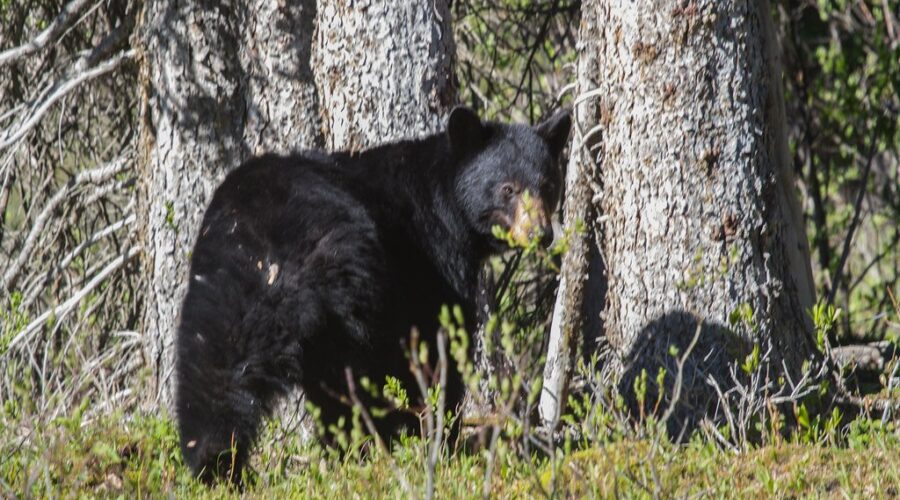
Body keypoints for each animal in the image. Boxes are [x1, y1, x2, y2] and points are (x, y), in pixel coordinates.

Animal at [175, 106, 571, 484]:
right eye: (508, 188)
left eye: (548, 184)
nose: (540, 234)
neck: (446, 204)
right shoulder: (428, 259)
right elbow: (433, 341)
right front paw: (440, 436)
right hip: (352, 288)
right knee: (353, 375)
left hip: (222, 289)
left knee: (213, 371)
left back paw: (215, 462)